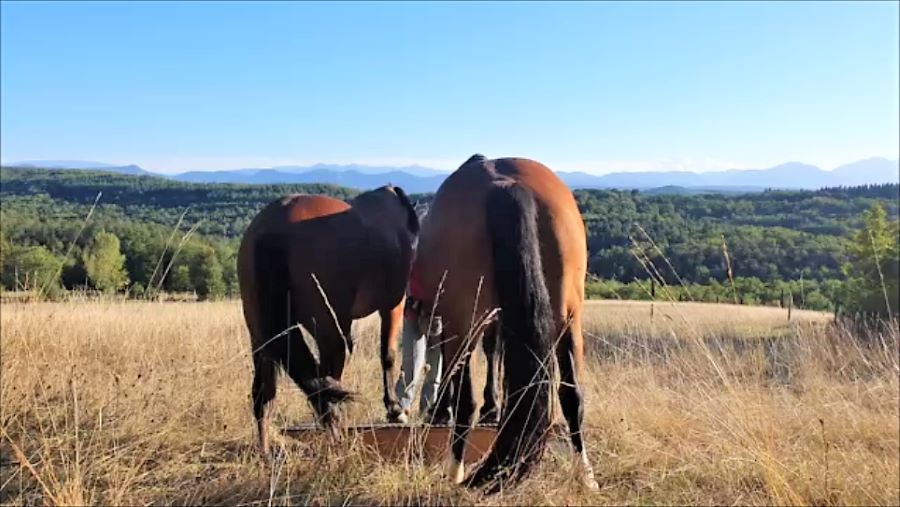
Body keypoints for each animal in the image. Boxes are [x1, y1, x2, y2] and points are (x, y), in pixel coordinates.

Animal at [237, 184, 419, 456]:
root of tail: (273, 227)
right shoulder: (392, 307)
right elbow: (387, 355)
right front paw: (394, 408)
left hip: (262, 336)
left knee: (265, 394)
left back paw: (266, 450)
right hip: (329, 333)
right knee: (325, 390)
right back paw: (337, 440)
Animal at [408, 154, 598, 493]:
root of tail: (504, 184)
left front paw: (446, 409)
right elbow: (497, 356)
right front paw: (493, 408)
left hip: (464, 320)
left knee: (466, 402)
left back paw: (454, 472)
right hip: (567, 317)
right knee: (572, 394)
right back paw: (585, 475)